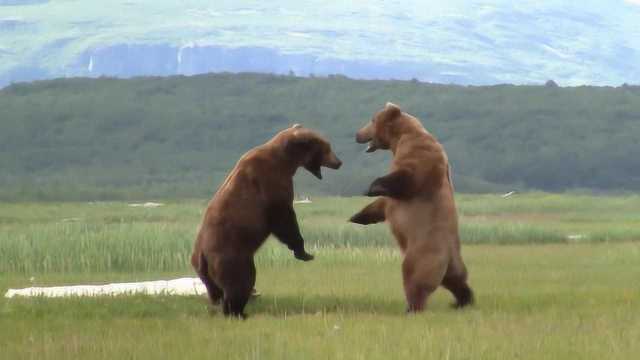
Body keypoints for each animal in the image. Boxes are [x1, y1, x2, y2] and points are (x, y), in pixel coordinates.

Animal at [191, 124, 342, 318]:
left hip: (204, 269)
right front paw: (304, 252)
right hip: (230, 252)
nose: (338, 162)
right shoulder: (270, 185)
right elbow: (284, 220)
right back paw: (237, 311)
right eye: (326, 147)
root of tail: (201, 255)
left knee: (216, 290)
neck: (286, 162)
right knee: (241, 281)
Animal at [348, 102, 472, 312]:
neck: (399, 139)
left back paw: (411, 308)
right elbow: (381, 205)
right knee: (458, 282)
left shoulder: (419, 158)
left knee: (414, 279)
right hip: (455, 264)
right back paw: (462, 301)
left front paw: (370, 188)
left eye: (372, 120)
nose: (357, 134)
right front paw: (357, 216)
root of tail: (447, 258)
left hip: (421, 254)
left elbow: (406, 178)